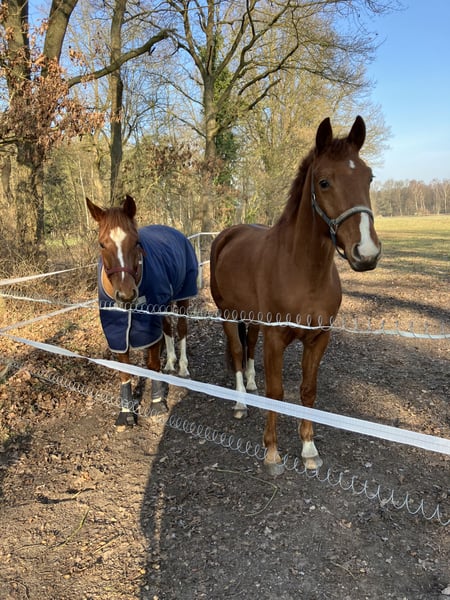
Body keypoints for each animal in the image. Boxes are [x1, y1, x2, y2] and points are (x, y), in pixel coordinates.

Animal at [86, 195, 198, 428]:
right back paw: (170, 363)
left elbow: (152, 364)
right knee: (167, 329)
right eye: (102, 244)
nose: (126, 294)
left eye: (136, 242)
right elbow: (125, 372)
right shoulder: (117, 331)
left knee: (181, 329)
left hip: (182, 298)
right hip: (163, 305)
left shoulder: (149, 327)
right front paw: (125, 413)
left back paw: (182, 367)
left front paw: (157, 404)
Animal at [210, 116, 382, 476]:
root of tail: (227, 234)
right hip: (227, 314)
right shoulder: (276, 338)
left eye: (369, 177)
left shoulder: (319, 338)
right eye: (324, 182)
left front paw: (308, 450)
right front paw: (272, 452)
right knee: (237, 352)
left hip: (252, 319)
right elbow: (277, 392)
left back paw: (251, 385)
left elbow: (307, 390)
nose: (367, 253)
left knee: (249, 348)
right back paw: (240, 402)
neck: (303, 272)